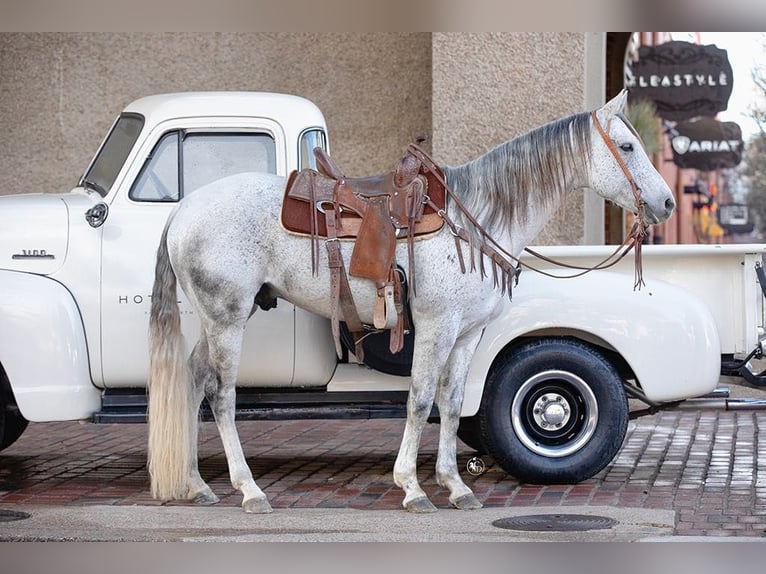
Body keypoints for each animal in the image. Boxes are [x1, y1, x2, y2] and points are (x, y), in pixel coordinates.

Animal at [147, 92, 676, 516]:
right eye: (627, 147)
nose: (667, 203)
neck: (477, 217)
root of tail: (183, 209)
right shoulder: (436, 326)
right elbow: (420, 399)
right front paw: (413, 488)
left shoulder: (467, 334)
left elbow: (453, 401)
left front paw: (457, 487)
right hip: (227, 317)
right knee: (221, 395)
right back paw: (250, 491)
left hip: (216, 320)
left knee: (193, 381)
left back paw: (196, 485)